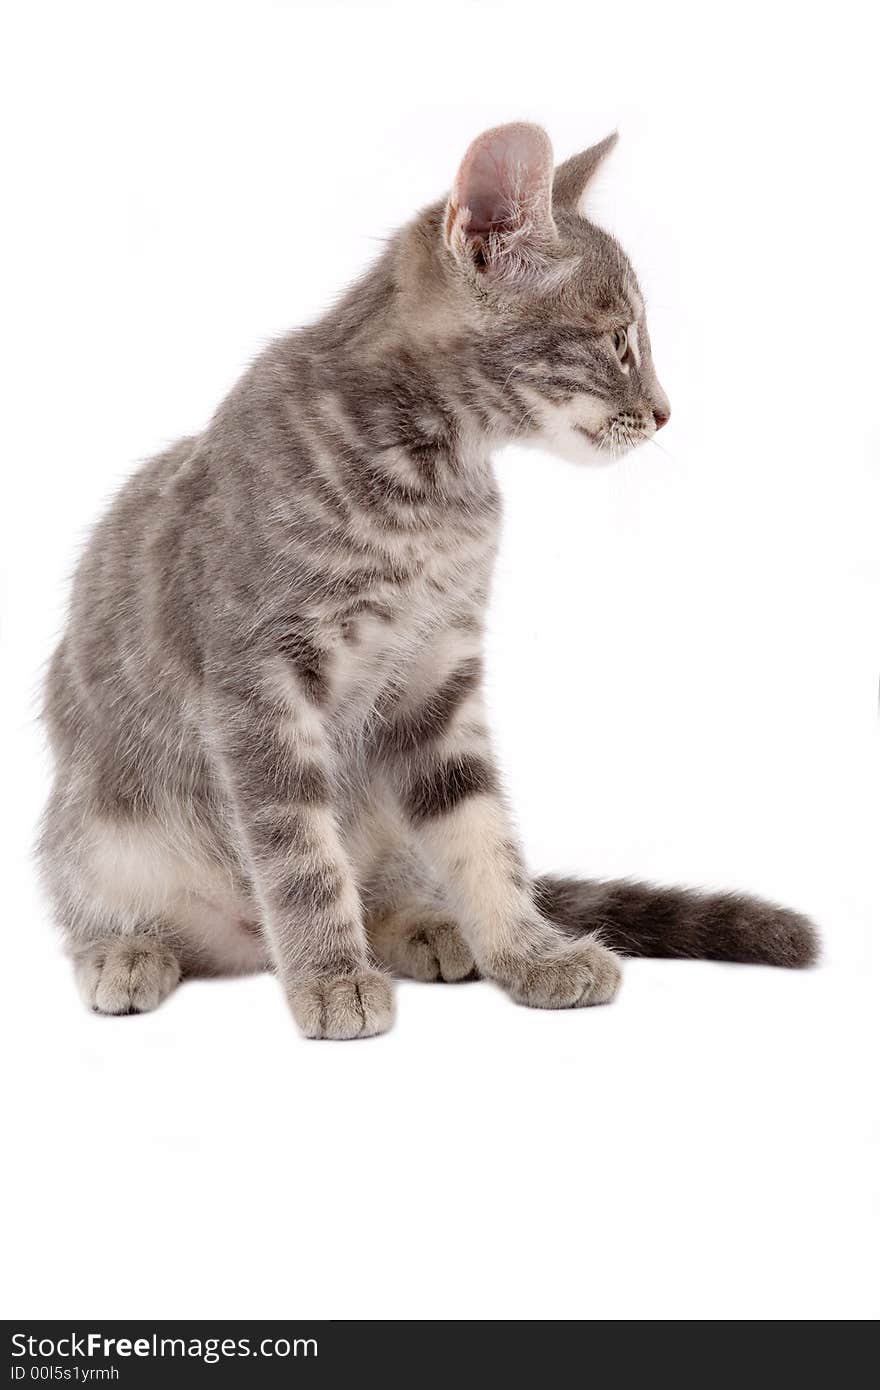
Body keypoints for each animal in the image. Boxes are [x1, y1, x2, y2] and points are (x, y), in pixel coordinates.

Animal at [35, 130, 817, 1039]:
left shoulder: (439, 670)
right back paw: (128, 950)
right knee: (94, 906)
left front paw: (528, 949)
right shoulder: (256, 682)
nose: (664, 412)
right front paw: (332, 976)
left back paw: (425, 924)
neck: (428, 481)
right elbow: (298, 848)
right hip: (94, 829)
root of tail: (239, 943)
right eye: (621, 339)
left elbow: (479, 825)